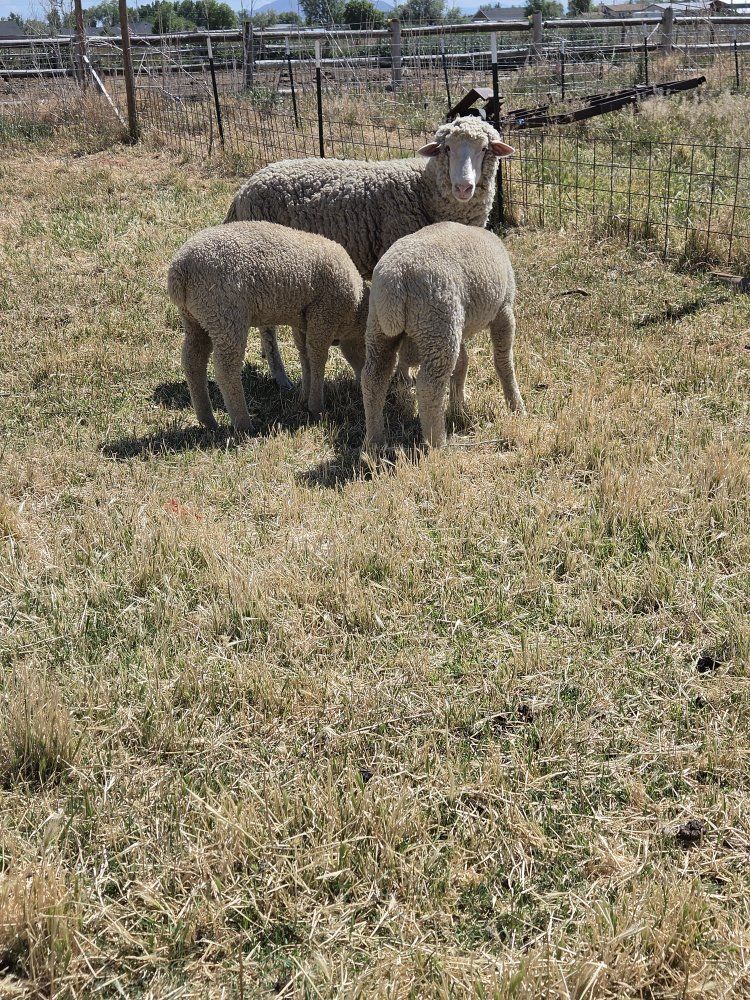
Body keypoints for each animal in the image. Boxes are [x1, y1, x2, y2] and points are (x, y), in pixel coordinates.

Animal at [167, 221, 367, 431]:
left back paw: (207, 420)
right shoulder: (324, 314)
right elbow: (317, 357)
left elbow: (305, 356)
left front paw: (304, 397)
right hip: (225, 315)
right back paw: (243, 424)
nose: (360, 384)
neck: (355, 308)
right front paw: (316, 407)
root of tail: (180, 270)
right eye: (366, 346)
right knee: (226, 369)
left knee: (193, 361)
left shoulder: (304, 320)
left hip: (196, 318)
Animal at [224, 117, 515, 390]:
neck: (422, 189)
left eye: (484, 149)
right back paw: (281, 376)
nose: (464, 187)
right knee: (268, 328)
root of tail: (244, 190)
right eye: (447, 148)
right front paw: (403, 375)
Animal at [361, 222, 526, 450]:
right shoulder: (504, 310)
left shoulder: (461, 325)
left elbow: (463, 363)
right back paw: (438, 442)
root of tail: (396, 279)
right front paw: (516, 406)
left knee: (373, 378)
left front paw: (459, 407)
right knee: (429, 385)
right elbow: (503, 362)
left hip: (381, 327)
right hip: (438, 324)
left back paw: (375, 440)